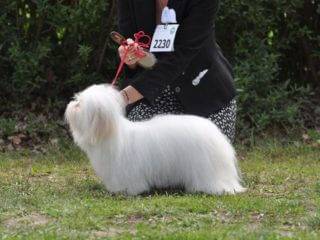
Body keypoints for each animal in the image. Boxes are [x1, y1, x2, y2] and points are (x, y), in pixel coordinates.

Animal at [64, 84, 245, 195]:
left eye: (80, 104)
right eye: (77, 100)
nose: (72, 103)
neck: (110, 133)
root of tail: (217, 136)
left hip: (206, 168)